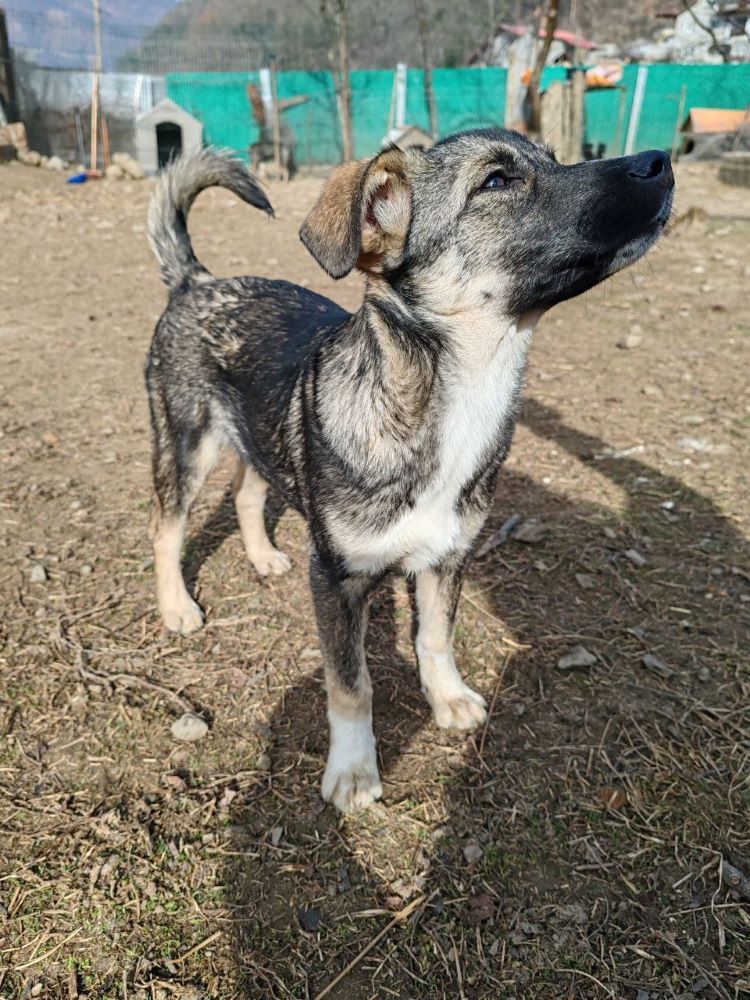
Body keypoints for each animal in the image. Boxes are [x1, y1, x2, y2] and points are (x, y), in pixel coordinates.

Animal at [147, 129, 676, 812]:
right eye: (496, 182)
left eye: (555, 159)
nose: (662, 161)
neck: (453, 401)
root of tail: (197, 281)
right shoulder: (337, 580)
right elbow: (351, 685)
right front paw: (352, 771)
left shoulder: (448, 555)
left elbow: (435, 637)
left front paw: (447, 698)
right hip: (187, 442)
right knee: (166, 527)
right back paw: (177, 607)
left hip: (257, 433)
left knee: (247, 491)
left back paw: (262, 556)